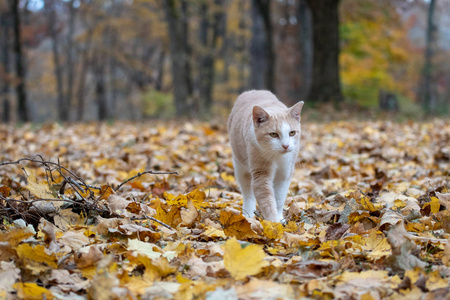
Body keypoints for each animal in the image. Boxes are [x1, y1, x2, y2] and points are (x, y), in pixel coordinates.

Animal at [227, 89, 304, 223]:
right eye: (273, 134)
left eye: (292, 133)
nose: (286, 146)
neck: (277, 157)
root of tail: (253, 91)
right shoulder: (261, 173)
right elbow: (267, 200)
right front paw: (274, 222)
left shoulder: (285, 173)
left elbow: (279, 198)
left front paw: (280, 219)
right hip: (240, 166)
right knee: (247, 192)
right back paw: (248, 214)